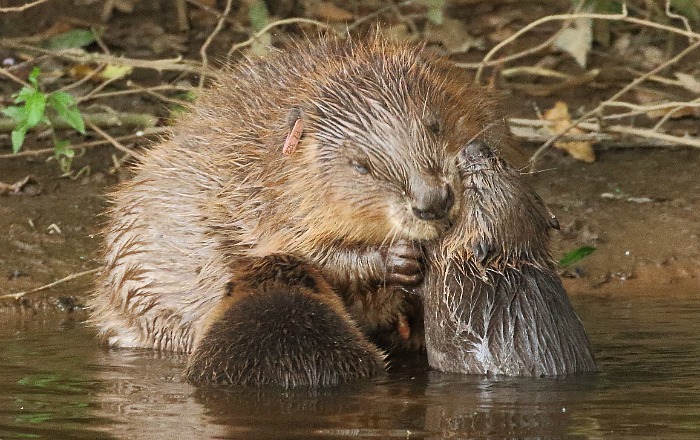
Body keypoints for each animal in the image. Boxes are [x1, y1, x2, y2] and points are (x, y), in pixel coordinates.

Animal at [90, 37, 500, 388]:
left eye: (434, 125)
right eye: (360, 166)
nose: (433, 201)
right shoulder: (269, 199)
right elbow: (306, 254)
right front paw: (398, 259)